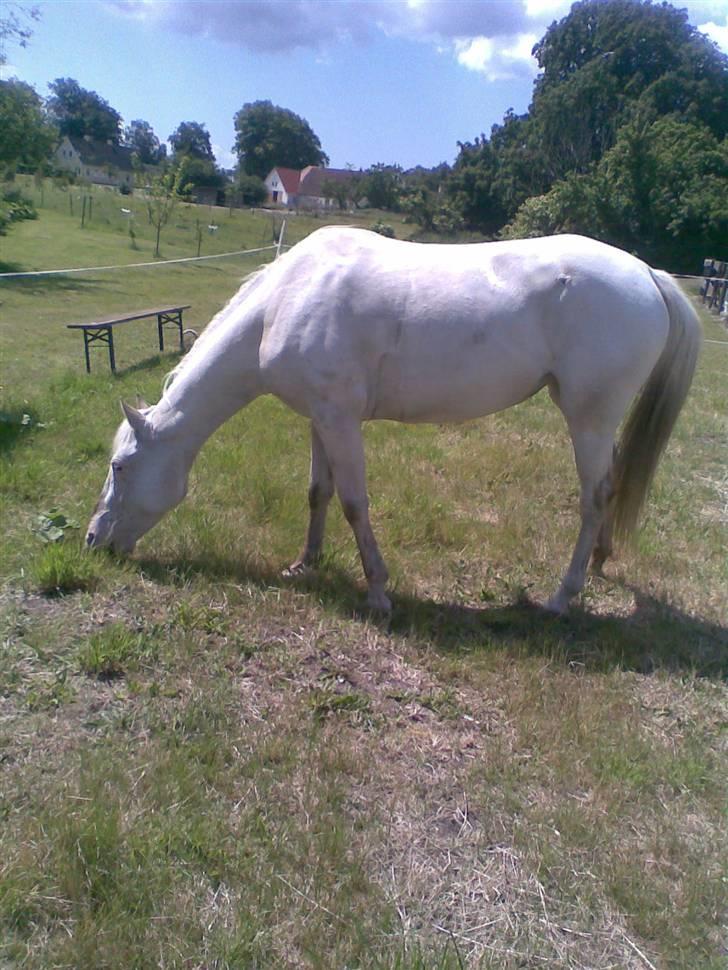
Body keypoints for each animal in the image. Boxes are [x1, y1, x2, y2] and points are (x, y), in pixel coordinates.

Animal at [85, 227, 700, 612]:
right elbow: (318, 493)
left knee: (594, 497)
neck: (285, 301)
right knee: (610, 486)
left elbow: (354, 502)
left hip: (587, 419)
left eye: (119, 467)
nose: (94, 541)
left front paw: (378, 590)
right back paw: (599, 562)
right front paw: (304, 564)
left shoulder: (341, 421)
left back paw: (563, 595)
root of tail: (646, 272)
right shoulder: (320, 418)